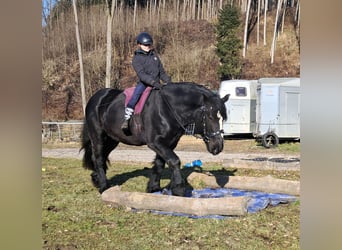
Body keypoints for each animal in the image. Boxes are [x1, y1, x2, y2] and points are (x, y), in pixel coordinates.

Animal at [81, 82, 228, 195]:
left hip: (112, 139)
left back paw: (96, 179)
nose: (218, 147)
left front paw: (154, 188)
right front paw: (178, 189)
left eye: (223, 118)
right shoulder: (155, 143)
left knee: (102, 156)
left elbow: (160, 163)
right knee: (98, 158)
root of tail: (96, 98)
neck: (168, 109)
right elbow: (174, 161)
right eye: (210, 117)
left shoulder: (169, 143)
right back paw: (103, 186)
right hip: (98, 136)